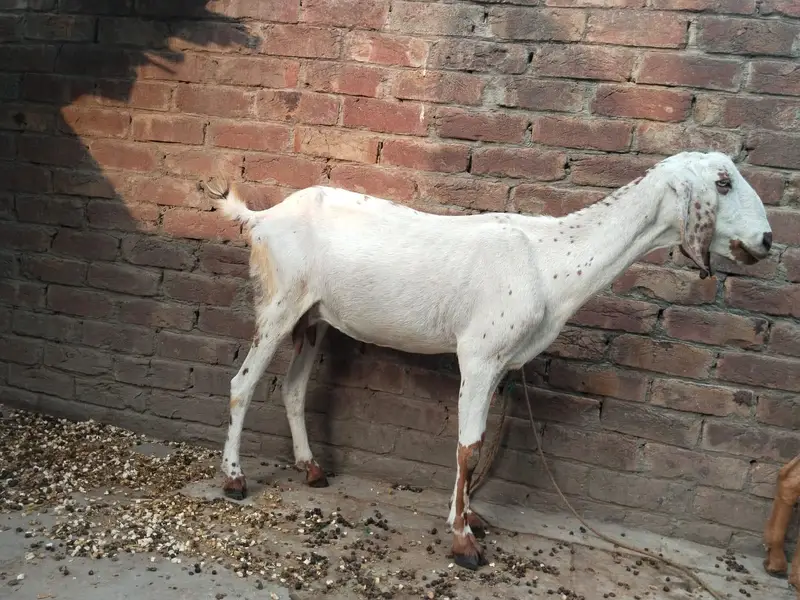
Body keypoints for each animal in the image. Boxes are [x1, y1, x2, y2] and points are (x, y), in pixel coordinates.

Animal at [205, 151, 772, 570]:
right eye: (723, 183)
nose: (766, 240)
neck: (550, 261)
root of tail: (261, 218)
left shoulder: (501, 362)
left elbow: (475, 448)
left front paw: (471, 516)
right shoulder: (479, 353)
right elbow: (469, 448)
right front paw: (463, 543)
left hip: (315, 317)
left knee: (292, 388)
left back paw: (311, 468)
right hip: (279, 302)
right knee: (241, 384)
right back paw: (234, 479)